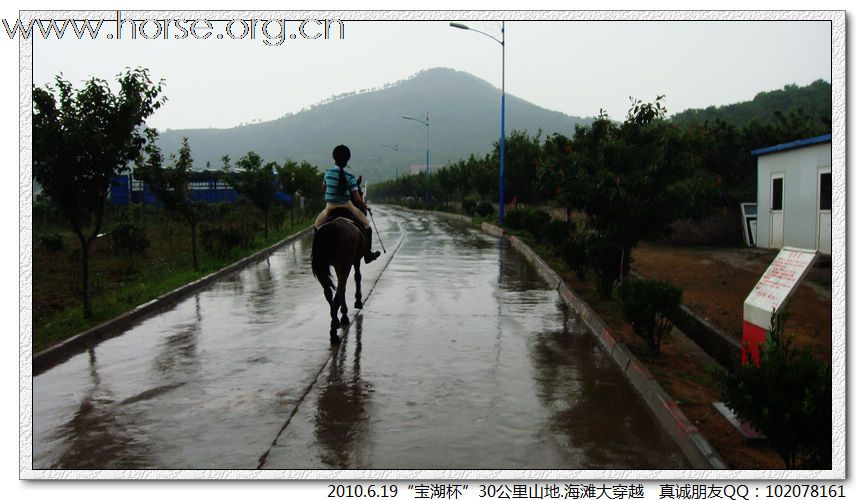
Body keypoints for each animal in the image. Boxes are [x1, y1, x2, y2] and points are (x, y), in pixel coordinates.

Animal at [310, 210, 364, 344]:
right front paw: (357, 301)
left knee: (329, 292)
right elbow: (357, 277)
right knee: (339, 292)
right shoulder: (355, 261)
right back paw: (334, 331)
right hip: (344, 264)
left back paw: (335, 323)